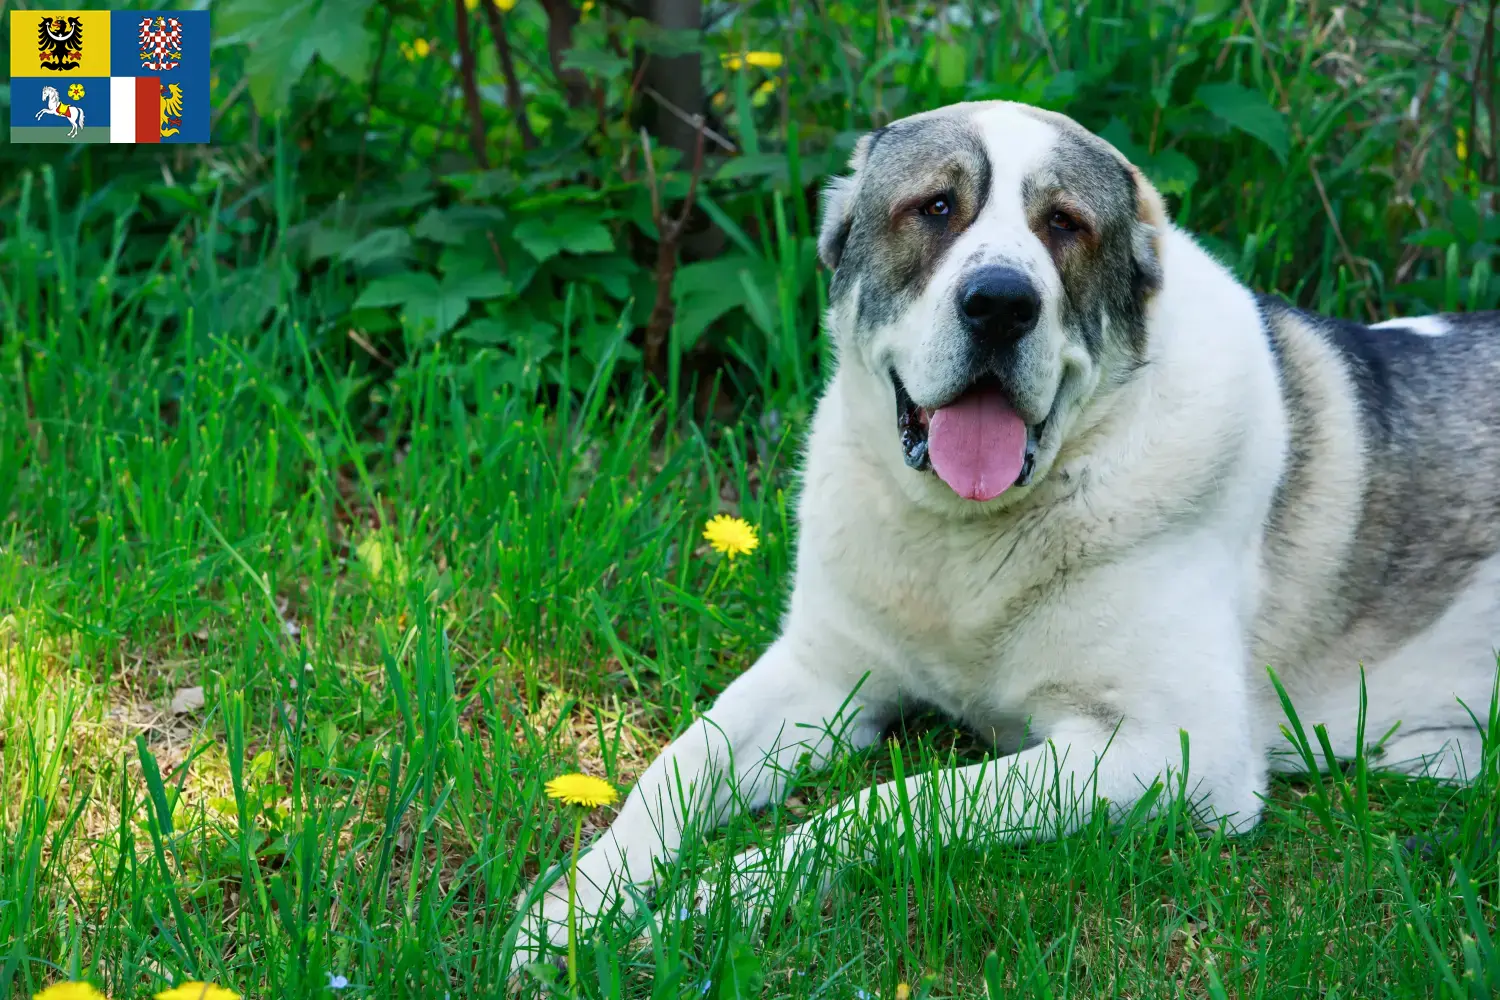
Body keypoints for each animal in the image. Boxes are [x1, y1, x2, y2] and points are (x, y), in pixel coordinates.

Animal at [513, 99, 1488, 959]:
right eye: (936, 208)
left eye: (1064, 224)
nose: (1001, 303)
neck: (962, 538)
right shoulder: (821, 673)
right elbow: (678, 767)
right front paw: (577, 910)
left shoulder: (1172, 749)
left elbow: (888, 804)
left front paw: (716, 900)